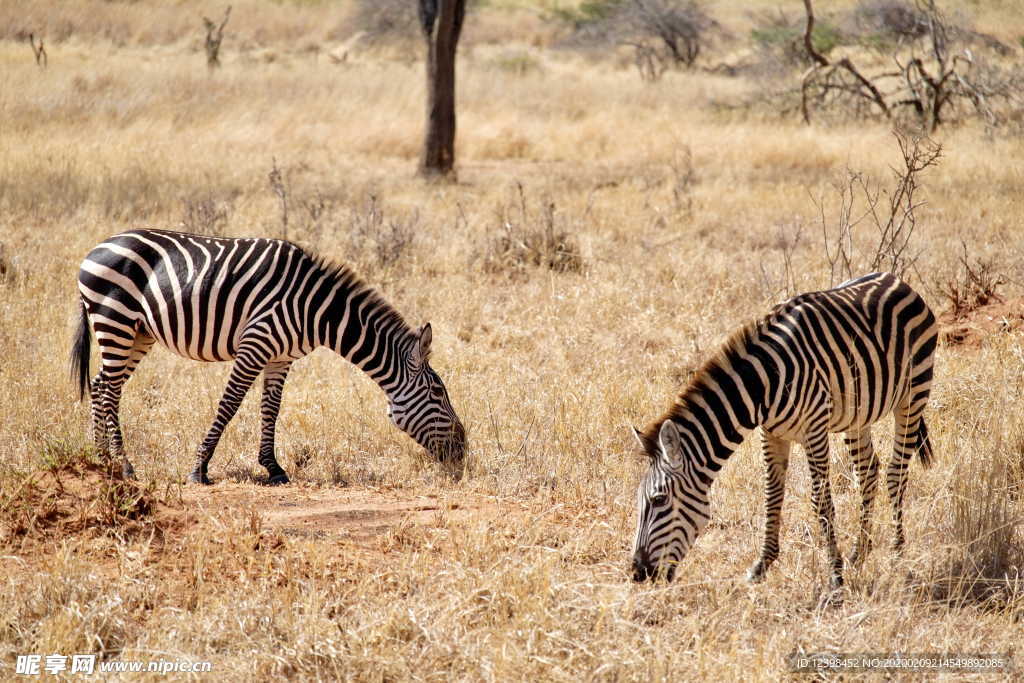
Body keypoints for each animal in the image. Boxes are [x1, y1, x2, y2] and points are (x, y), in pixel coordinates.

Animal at [66, 229, 462, 485]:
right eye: (437, 393)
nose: (463, 450)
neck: (317, 310)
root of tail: (97, 247)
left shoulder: (281, 357)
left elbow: (271, 408)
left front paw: (273, 468)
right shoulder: (254, 345)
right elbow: (230, 404)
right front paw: (200, 468)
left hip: (138, 332)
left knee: (102, 385)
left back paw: (104, 460)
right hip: (115, 319)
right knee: (109, 388)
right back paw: (124, 466)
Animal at [630, 274, 937, 593]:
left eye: (659, 500)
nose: (638, 573)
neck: (762, 384)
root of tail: (894, 279)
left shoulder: (814, 429)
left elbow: (820, 501)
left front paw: (835, 575)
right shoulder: (771, 433)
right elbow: (772, 495)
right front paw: (762, 565)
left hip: (913, 394)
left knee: (896, 472)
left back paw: (897, 554)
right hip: (857, 413)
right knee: (867, 472)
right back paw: (860, 553)